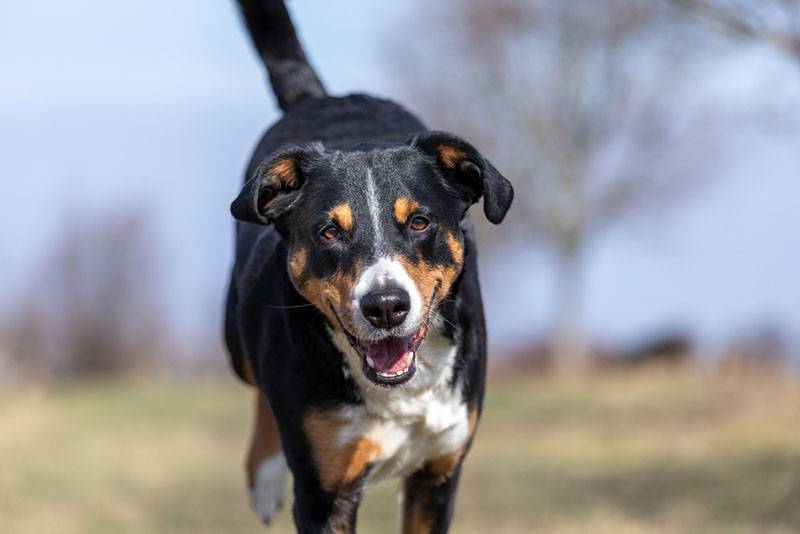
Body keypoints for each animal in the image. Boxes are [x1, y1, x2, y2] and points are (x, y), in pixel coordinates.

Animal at [225, 2, 512, 532]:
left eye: (419, 221)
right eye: (329, 232)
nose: (385, 306)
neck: (401, 393)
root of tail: (326, 98)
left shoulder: (437, 476)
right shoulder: (325, 491)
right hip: (235, 338)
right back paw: (265, 476)